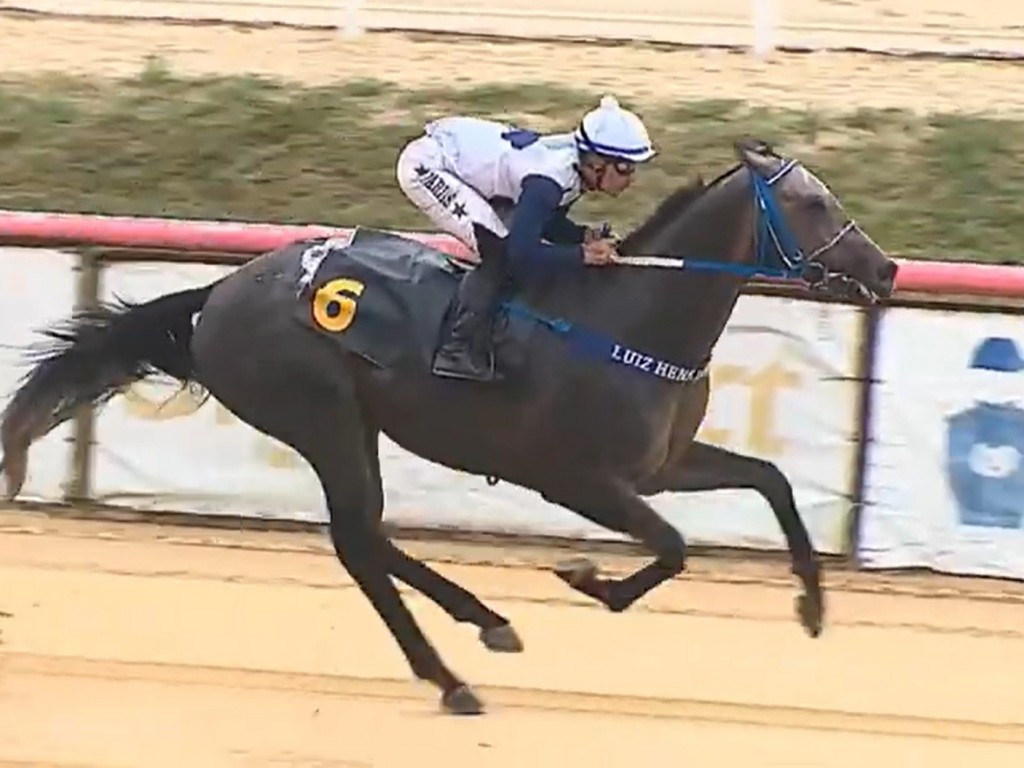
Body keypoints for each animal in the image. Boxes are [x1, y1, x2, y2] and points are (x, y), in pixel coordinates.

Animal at [0, 137, 897, 716]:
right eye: (812, 203)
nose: (886, 269)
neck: (631, 319)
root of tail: (216, 294)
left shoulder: (661, 465)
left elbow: (773, 481)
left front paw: (813, 606)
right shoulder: (578, 481)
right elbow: (674, 548)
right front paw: (589, 580)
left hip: (349, 422)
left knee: (367, 536)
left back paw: (481, 628)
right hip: (320, 413)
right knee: (358, 540)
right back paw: (453, 672)